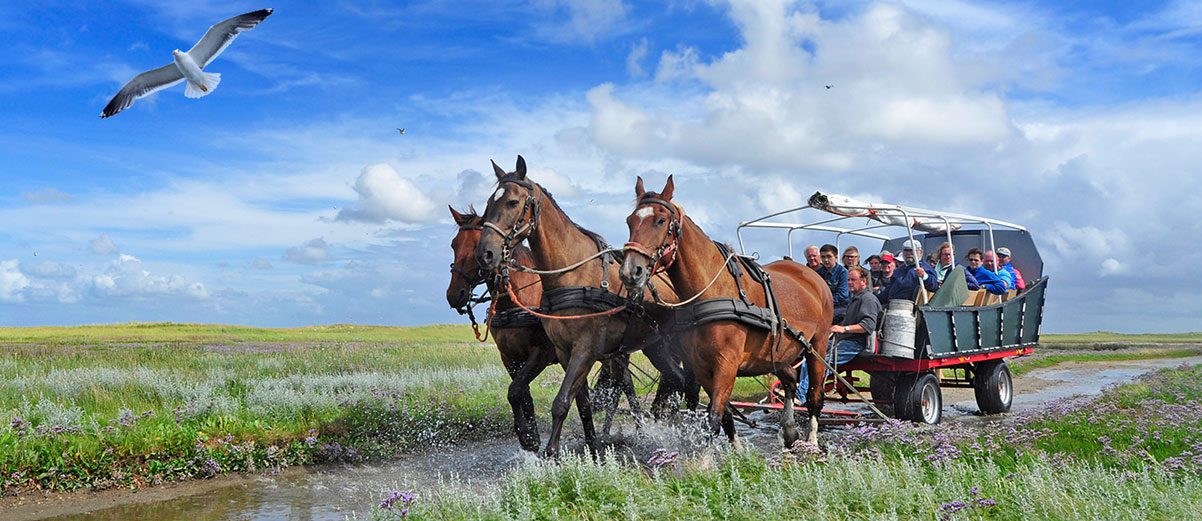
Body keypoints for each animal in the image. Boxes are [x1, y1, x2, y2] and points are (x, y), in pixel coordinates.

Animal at [447, 204, 649, 447]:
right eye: (454, 244)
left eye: (477, 247)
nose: (453, 295)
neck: (517, 300)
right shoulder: (510, 357)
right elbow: (523, 396)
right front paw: (530, 436)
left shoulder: (542, 353)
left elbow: (515, 391)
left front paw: (528, 437)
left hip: (615, 353)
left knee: (625, 385)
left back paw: (636, 432)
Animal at [468, 156, 697, 457]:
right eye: (488, 204)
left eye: (513, 203)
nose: (485, 254)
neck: (573, 274)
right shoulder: (565, 352)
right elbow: (581, 403)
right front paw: (593, 447)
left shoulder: (584, 349)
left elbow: (561, 401)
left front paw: (551, 453)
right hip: (655, 346)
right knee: (676, 381)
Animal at [615, 176, 831, 445]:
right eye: (629, 221)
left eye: (660, 221)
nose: (630, 271)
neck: (712, 290)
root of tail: (810, 274)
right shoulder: (699, 366)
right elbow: (724, 414)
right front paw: (736, 448)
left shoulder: (726, 365)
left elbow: (714, 417)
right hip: (777, 352)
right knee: (790, 379)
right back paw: (790, 430)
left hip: (818, 345)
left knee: (814, 395)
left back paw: (811, 439)